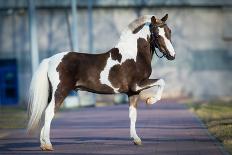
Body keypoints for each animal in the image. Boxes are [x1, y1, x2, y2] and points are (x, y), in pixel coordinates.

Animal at [27, 13, 175, 151]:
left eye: (169, 31)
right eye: (157, 35)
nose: (172, 56)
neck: (134, 55)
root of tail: (50, 60)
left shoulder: (133, 92)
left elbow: (133, 115)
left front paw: (136, 139)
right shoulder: (138, 84)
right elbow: (162, 81)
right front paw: (151, 100)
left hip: (51, 94)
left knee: (46, 113)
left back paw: (43, 144)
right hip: (60, 91)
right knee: (49, 113)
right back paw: (48, 144)